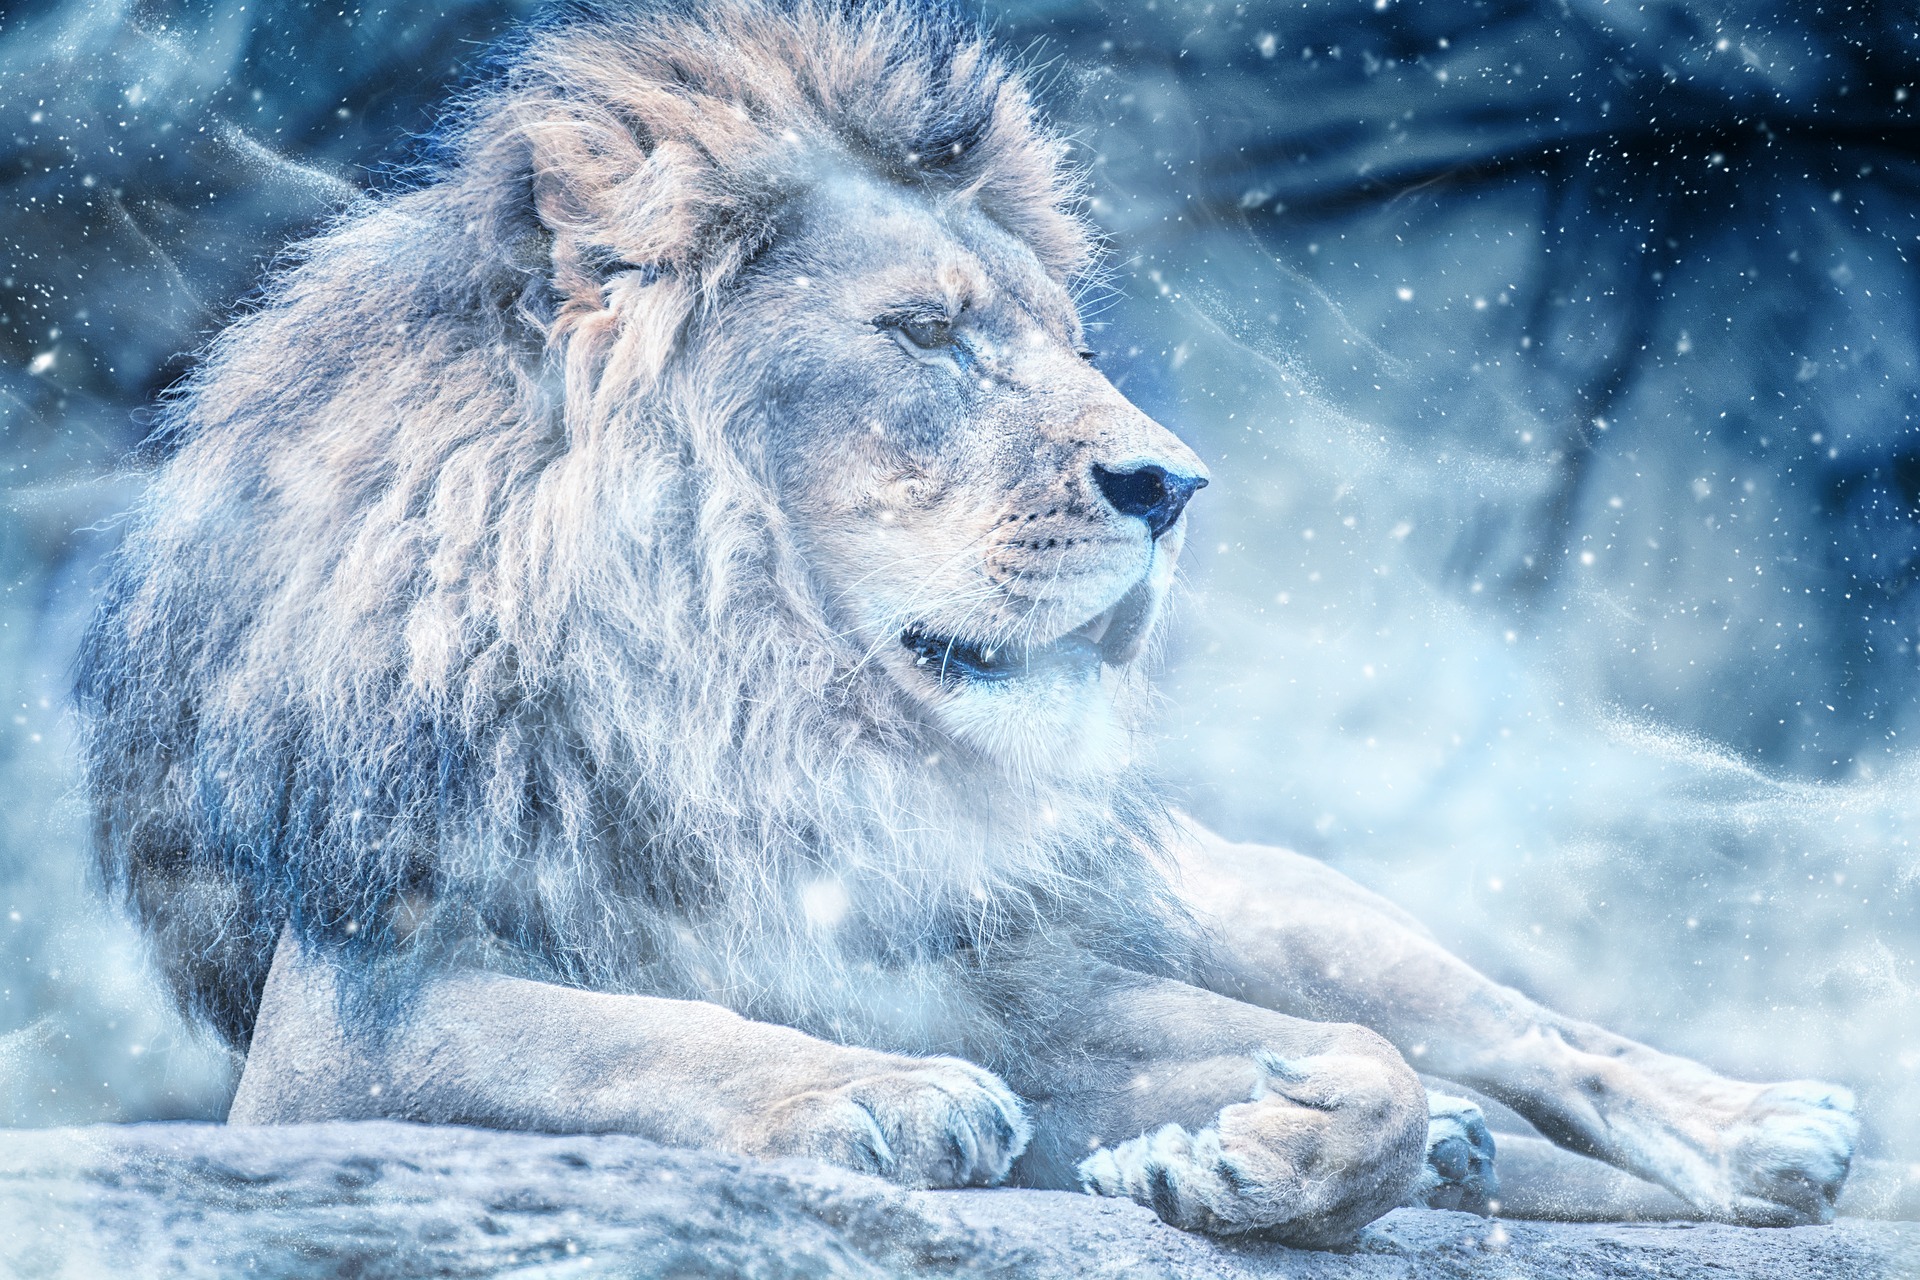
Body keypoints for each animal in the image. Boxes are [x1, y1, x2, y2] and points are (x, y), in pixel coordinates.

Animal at [76, 0, 1857, 1245]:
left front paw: (1261, 1148)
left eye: (1063, 341)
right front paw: (886, 1098)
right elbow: (625, 1038)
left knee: (1528, 1036)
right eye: (925, 336)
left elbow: (1377, 1066)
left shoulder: (1027, 984)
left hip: (1265, 900)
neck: (752, 712)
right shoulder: (347, 1021)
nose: (1173, 485)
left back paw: (1767, 1129)